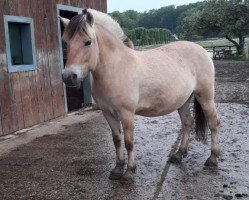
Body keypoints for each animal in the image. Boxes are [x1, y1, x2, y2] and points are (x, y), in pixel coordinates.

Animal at [59, 8, 220, 182]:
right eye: (66, 42)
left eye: (88, 42)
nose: (69, 76)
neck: (116, 67)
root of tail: (202, 50)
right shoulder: (108, 113)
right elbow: (117, 140)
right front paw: (117, 169)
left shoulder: (126, 113)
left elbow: (129, 142)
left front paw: (129, 172)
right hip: (183, 101)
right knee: (187, 123)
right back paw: (178, 155)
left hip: (205, 96)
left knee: (213, 122)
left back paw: (212, 158)